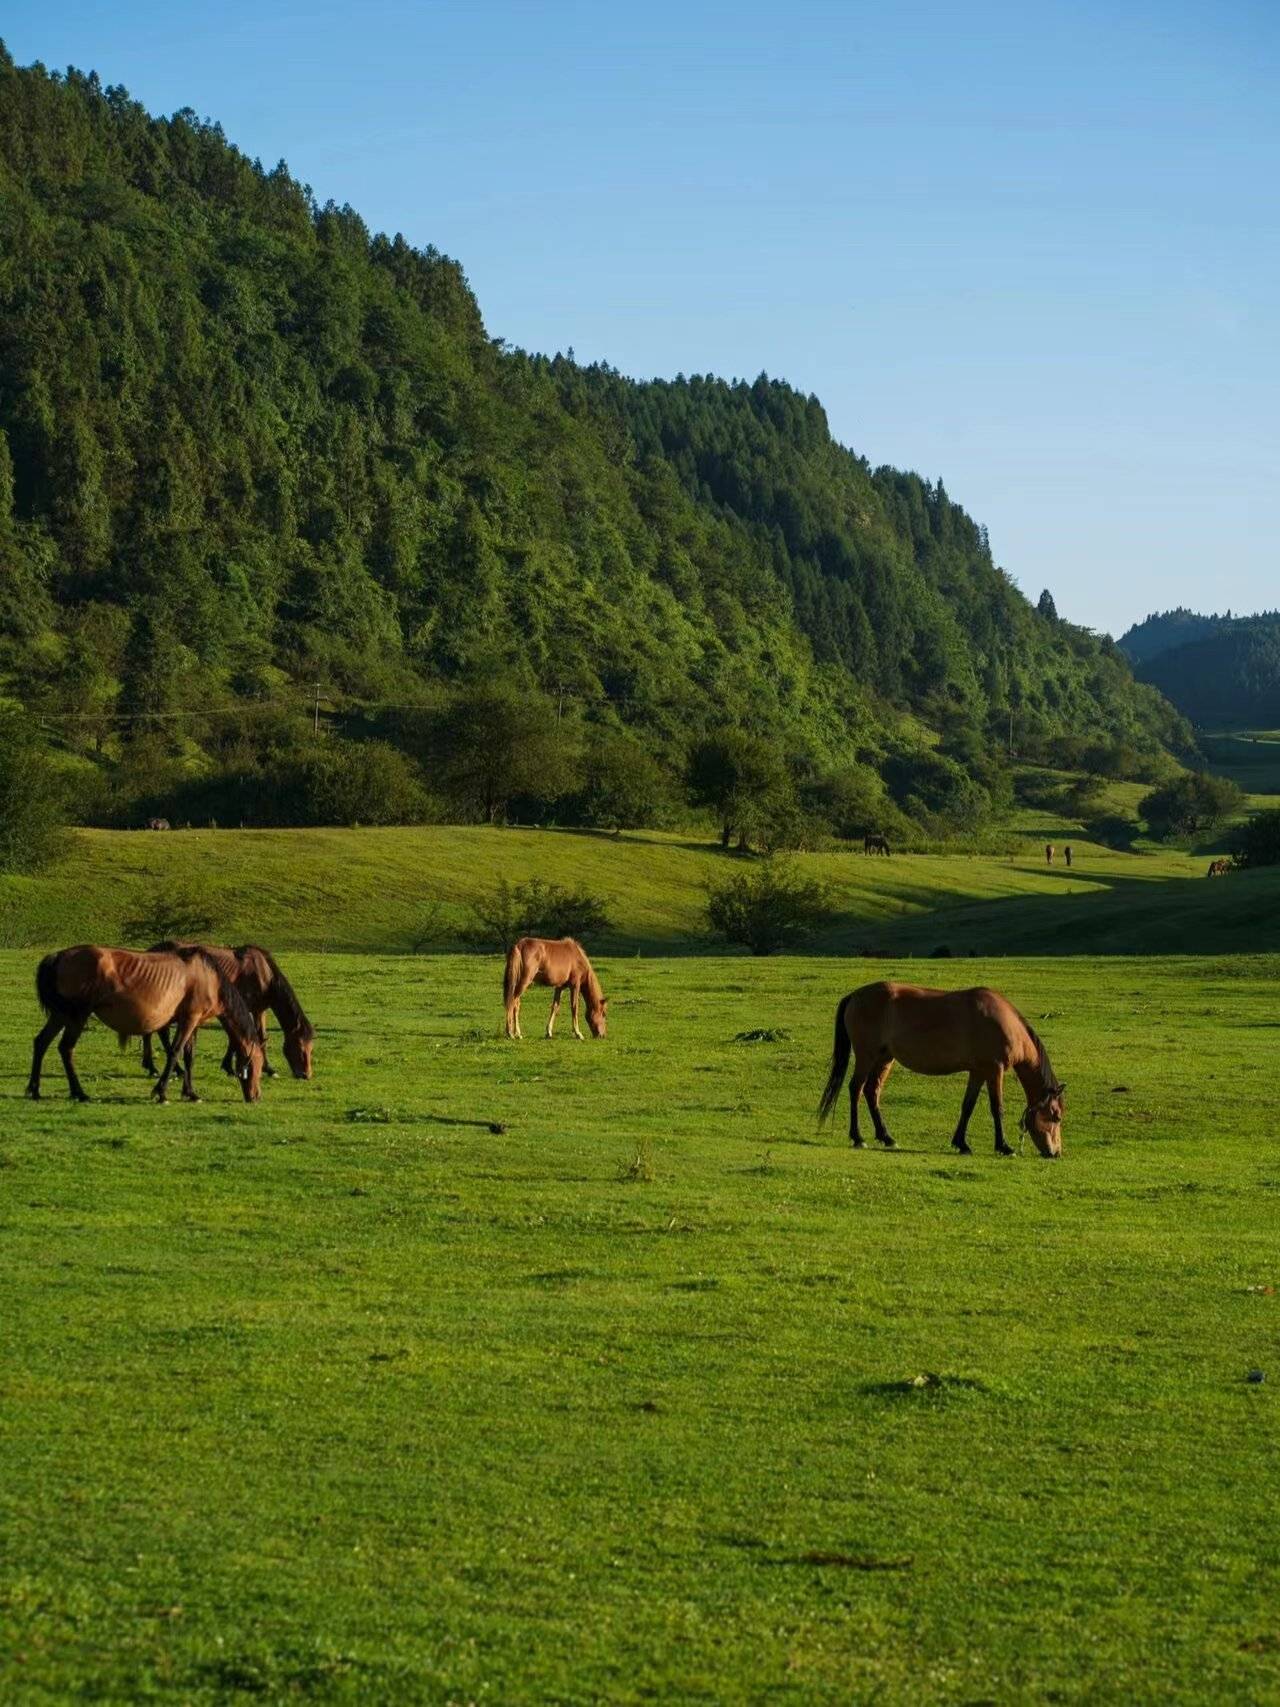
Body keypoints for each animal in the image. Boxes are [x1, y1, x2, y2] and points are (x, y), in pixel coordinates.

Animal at [27, 949, 266, 1106]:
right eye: (257, 1065)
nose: (255, 1096)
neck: (209, 978)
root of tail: (58, 956)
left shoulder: (191, 1022)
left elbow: (189, 1057)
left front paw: (190, 1093)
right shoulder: (189, 1020)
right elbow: (175, 1052)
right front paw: (161, 1093)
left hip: (61, 1015)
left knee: (41, 1042)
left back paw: (35, 1088)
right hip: (77, 1016)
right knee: (66, 1048)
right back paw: (79, 1092)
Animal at [140, 949, 319, 1078]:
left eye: (311, 1049)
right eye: (301, 1047)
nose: (306, 1075)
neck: (263, 974)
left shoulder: (259, 1010)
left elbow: (261, 1038)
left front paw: (264, 1068)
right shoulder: (245, 1009)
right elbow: (241, 1038)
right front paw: (234, 1068)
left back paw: (153, 1066)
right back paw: (166, 1068)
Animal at [815, 990, 1064, 1160]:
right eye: (1056, 1116)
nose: (1056, 1152)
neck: (1005, 1023)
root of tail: (855, 996)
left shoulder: (978, 1072)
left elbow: (968, 1106)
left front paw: (961, 1143)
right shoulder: (994, 1070)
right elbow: (997, 1108)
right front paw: (1004, 1146)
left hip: (884, 1058)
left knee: (871, 1091)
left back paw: (886, 1137)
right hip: (867, 1056)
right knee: (856, 1089)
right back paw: (858, 1137)